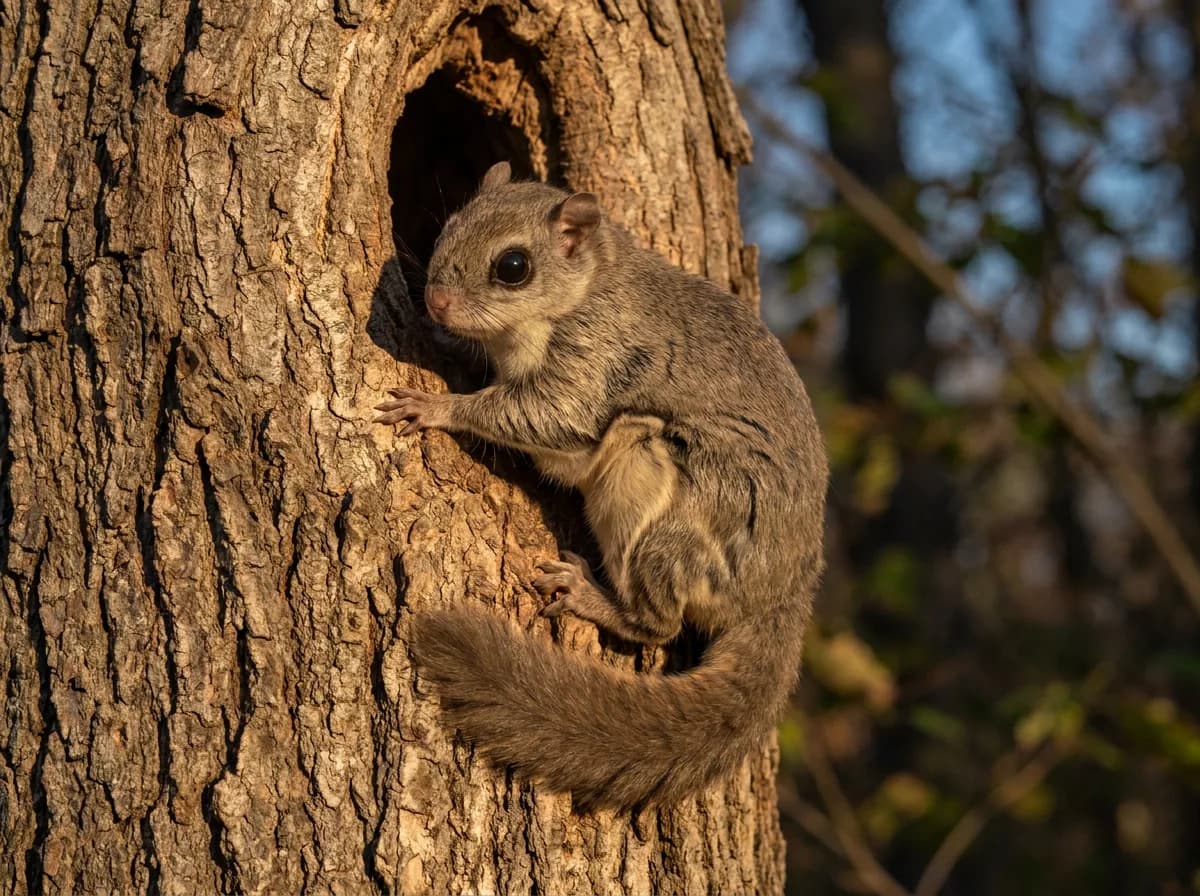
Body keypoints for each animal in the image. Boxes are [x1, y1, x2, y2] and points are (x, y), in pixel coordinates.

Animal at [375, 161, 828, 809]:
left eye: (513, 266)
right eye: (448, 227)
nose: (436, 302)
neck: (588, 287)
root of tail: (783, 594)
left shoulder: (602, 355)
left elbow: (547, 414)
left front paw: (438, 406)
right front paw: (441, 344)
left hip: (665, 499)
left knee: (658, 622)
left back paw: (589, 595)